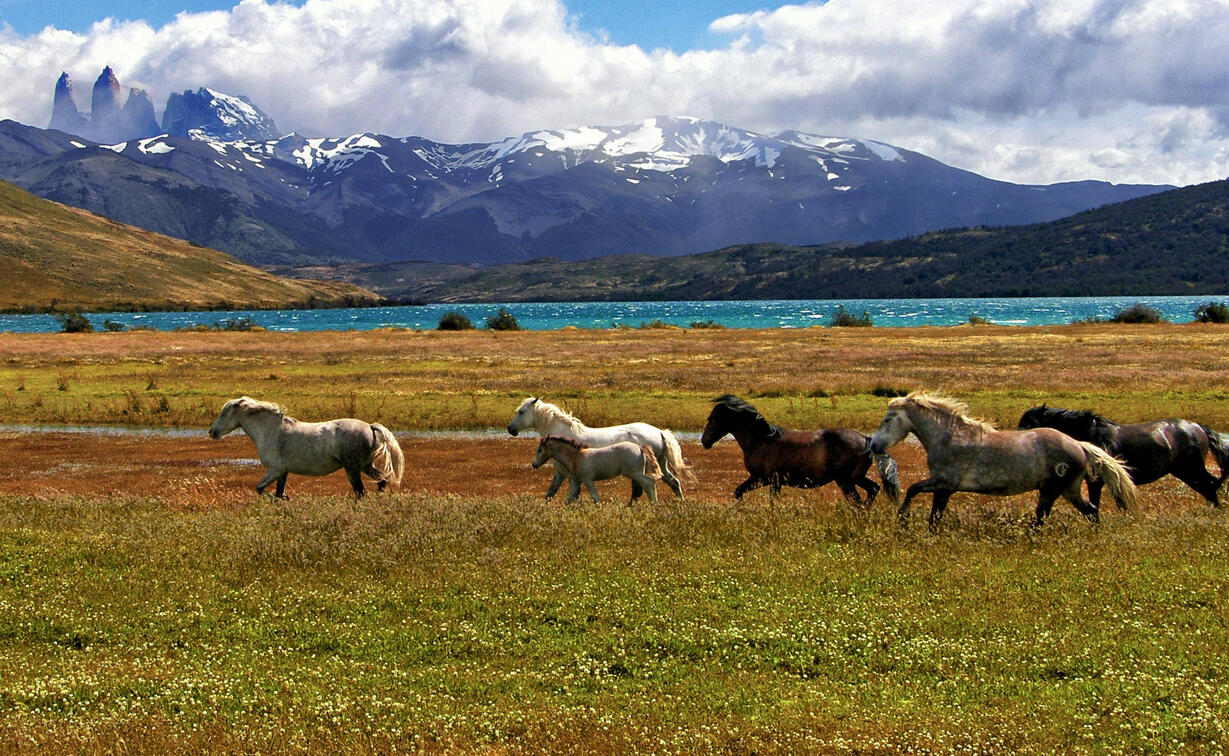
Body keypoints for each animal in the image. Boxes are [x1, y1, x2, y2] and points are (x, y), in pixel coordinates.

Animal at [208, 396, 404, 499]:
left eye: (224, 413)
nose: (211, 432)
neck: (271, 431)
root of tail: (370, 426)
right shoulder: (282, 472)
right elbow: (277, 493)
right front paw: (284, 499)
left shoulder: (275, 470)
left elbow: (260, 489)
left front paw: (286, 498)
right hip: (365, 466)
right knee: (381, 479)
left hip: (352, 468)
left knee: (361, 491)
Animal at [531, 435, 663, 505]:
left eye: (539, 450)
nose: (534, 464)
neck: (576, 457)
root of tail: (640, 447)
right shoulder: (576, 481)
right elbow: (569, 499)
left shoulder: (587, 479)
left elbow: (595, 498)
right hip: (637, 473)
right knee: (643, 487)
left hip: (634, 473)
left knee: (649, 482)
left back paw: (654, 504)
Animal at [700, 394, 900, 508]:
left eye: (712, 419)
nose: (704, 441)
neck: (761, 440)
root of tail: (866, 440)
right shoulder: (765, 480)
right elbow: (739, 491)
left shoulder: (766, 479)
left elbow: (766, 500)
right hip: (855, 478)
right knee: (873, 489)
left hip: (846, 481)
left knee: (860, 500)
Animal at [868, 392, 1137, 530]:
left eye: (888, 418)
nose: (874, 445)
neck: (949, 437)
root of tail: (1079, 445)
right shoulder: (943, 487)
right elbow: (929, 509)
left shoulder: (944, 484)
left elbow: (917, 495)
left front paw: (903, 519)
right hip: (1069, 490)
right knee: (1090, 510)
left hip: (1051, 490)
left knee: (1042, 518)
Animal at [1017, 404, 1229, 508]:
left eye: (1029, 423)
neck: (1090, 435)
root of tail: (1198, 427)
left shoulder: (1096, 481)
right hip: (1184, 472)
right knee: (1209, 487)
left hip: (1191, 469)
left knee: (1210, 485)